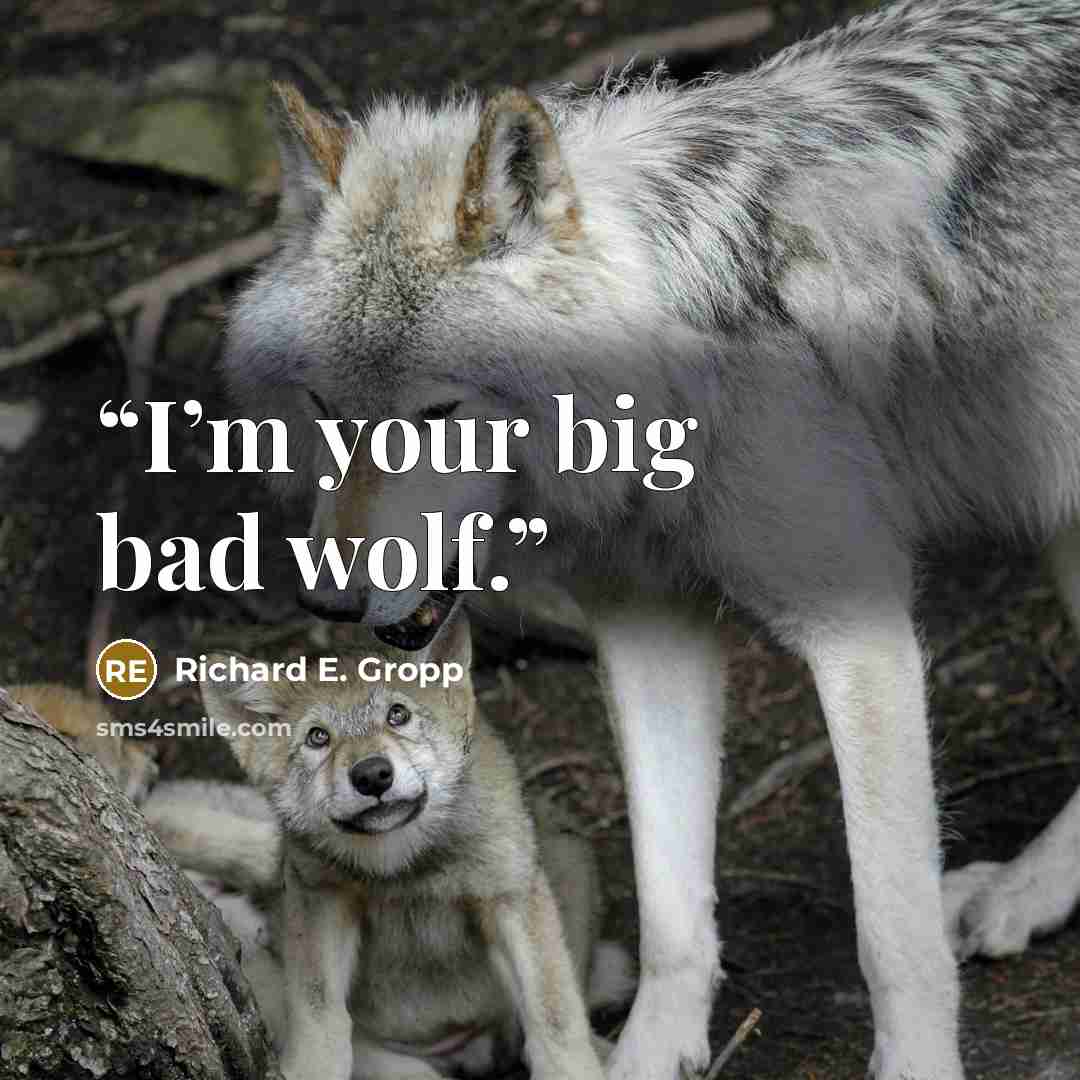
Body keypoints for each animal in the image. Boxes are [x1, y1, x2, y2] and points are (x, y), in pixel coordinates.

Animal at [144, 614, 632, 1080]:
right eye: (318, 737)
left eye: (397, 715)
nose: (372, 775)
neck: (403, 866)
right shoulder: (320, 900)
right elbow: (320, 1016)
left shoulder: (508, 895)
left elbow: (554, 1014)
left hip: (569, 858)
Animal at [222, 2, 1080, 1076]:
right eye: (327, 409)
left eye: (437, 413)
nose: (326, 598)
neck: (664, 400)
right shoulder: (647, 631)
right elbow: (671, 903)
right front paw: (649, 1051)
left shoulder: (860, 629)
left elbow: (893, 931)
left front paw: (916, 1062)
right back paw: (1026, 890)